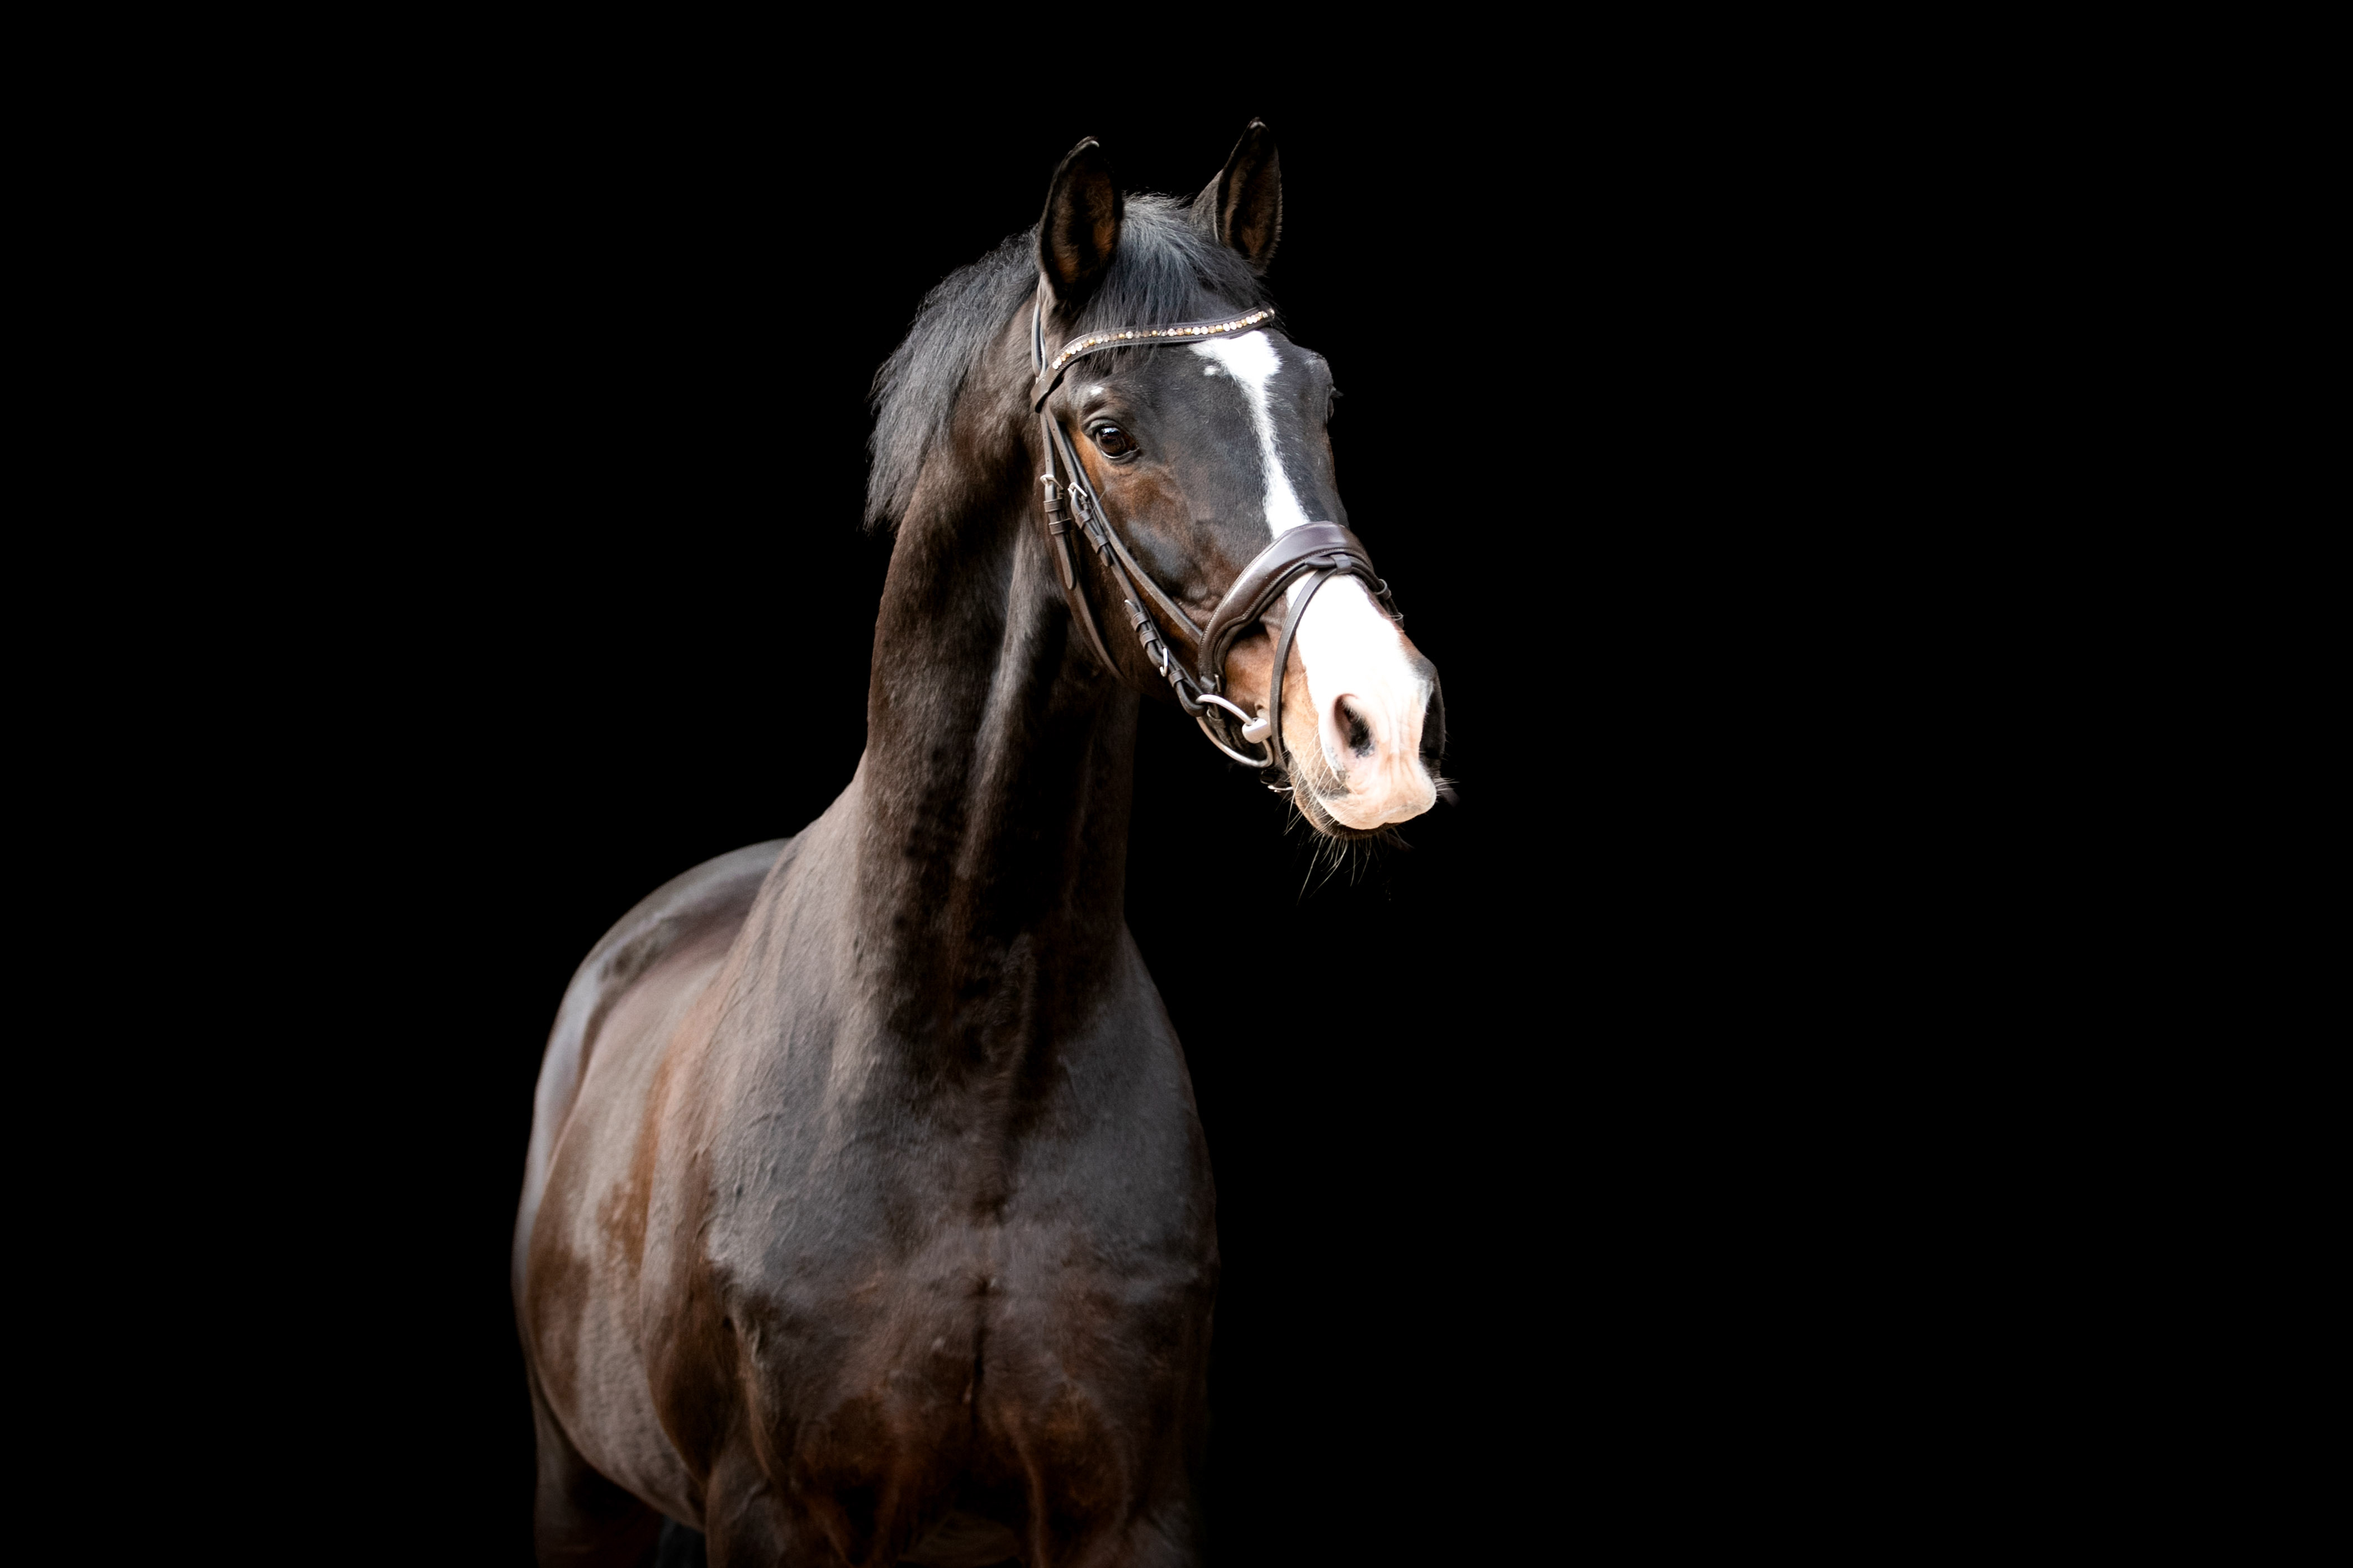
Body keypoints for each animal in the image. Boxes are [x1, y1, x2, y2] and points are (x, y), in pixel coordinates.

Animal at [515, 126, 1449, 1568]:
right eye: (1110, 430)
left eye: (1318, 398)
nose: (1381, 722)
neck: (968, 1067)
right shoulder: (774, 1516)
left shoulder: (1134, 1511)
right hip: (582, 1490)